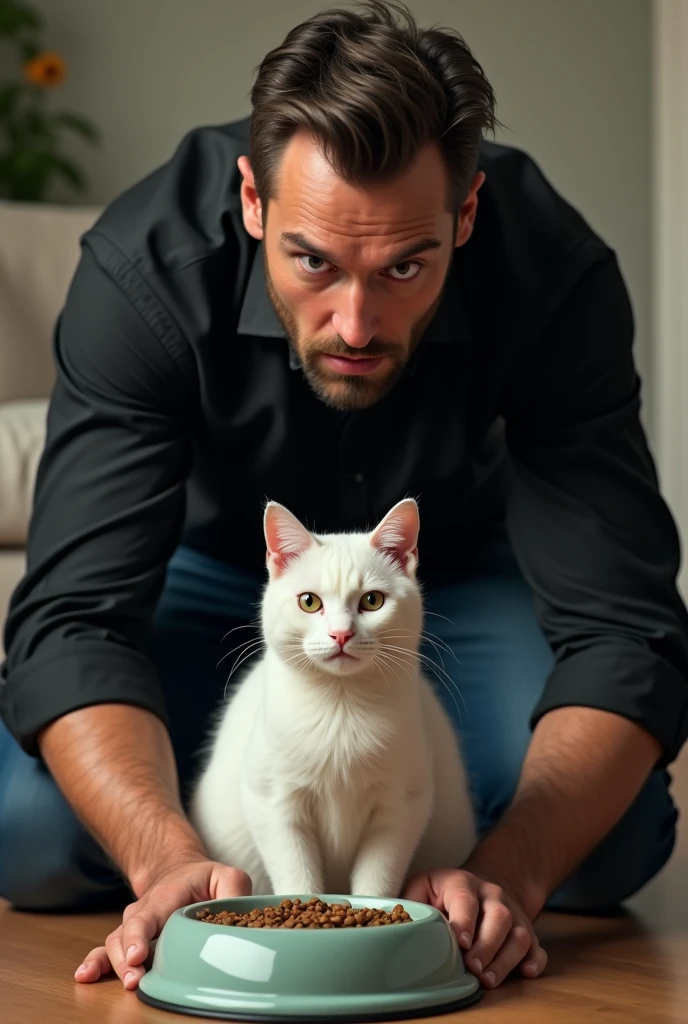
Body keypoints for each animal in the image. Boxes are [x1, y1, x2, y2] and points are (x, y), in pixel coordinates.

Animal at [190, 497, 475, 897]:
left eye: (372, 600)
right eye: (309, 602)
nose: (341, 634)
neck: (341, 707)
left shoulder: (401, 806)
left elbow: (378, 879)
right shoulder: (274, 804)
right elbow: (296, 877)